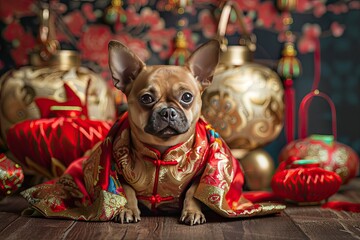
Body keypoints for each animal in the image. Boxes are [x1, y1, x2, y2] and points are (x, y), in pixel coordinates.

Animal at [107, 39, 219, 225]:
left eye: (187, 97)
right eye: (146, 98)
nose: (167, 111)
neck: (162, 150)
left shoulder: (200, 176)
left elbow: (192, 193)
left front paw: (191, 212)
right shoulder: (120, 174)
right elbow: (128, 192)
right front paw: (128, 209)